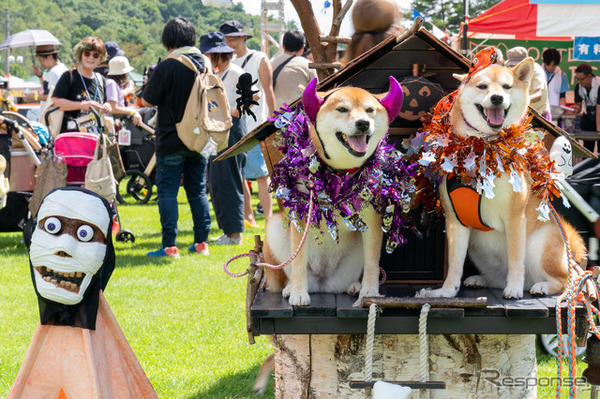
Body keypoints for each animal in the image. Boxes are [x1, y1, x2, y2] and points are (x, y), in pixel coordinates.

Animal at [262, 79, 404, 310]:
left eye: (370, 110)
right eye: (342, 109)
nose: (363, 123)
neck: (339, 173)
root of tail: (324, 285)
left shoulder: (372, 219)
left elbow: (372, 263)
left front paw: (369, 292)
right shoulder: (301, 214)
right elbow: (298, 261)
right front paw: (298, 293)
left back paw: (354, 286)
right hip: (274, 228)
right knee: (287, 272)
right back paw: (291, 287)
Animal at [418, 57, 584, 300]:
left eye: (507, 87)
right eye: (482, 86)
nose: (497, 98)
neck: (483, 148)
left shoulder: (515, 216)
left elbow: (515, 259)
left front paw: (513, 288)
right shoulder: (456, 221)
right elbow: (455, 265)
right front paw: (446, 292)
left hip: (539, 244)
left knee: (565, 281)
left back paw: (540, 286)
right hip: (478, 249)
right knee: (496, 278)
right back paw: (481, 280)